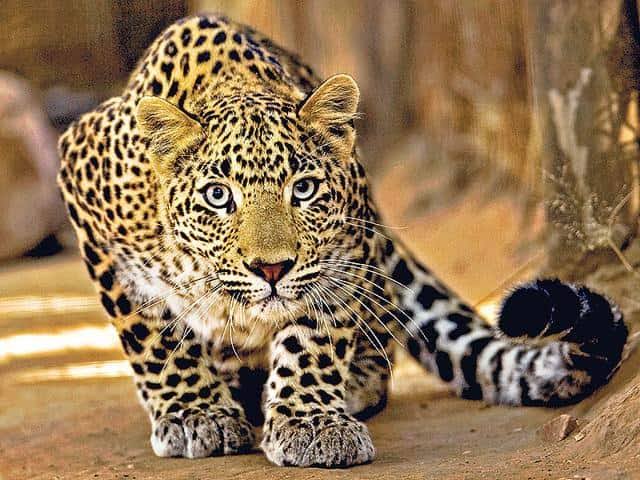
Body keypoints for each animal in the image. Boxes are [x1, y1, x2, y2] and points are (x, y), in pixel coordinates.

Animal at [57, 14, 628, 468]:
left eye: (304, 189)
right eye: (218, 196)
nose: (272, 269)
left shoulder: (343, 251)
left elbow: (313, 337)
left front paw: (310, 422)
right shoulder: (83, 187)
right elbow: (152, 334)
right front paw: (195, 414)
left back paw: (343, 384)